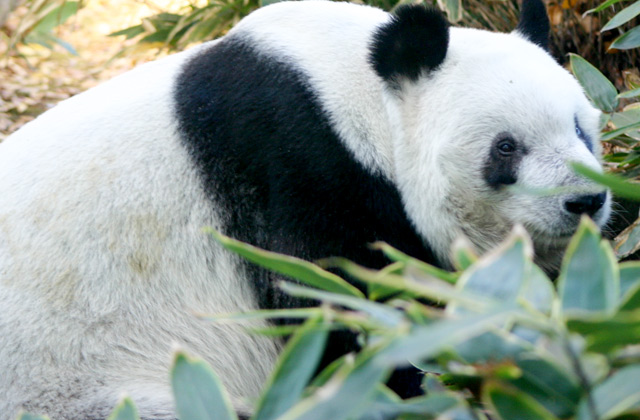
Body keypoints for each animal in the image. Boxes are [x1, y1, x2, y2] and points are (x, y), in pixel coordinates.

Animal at [0, 0, 611, 418]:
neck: (355, 97)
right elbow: (333, 307)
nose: (585, 200)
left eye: (582, 129)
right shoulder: (294, 166)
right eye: (506, 148)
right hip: (83, 385)